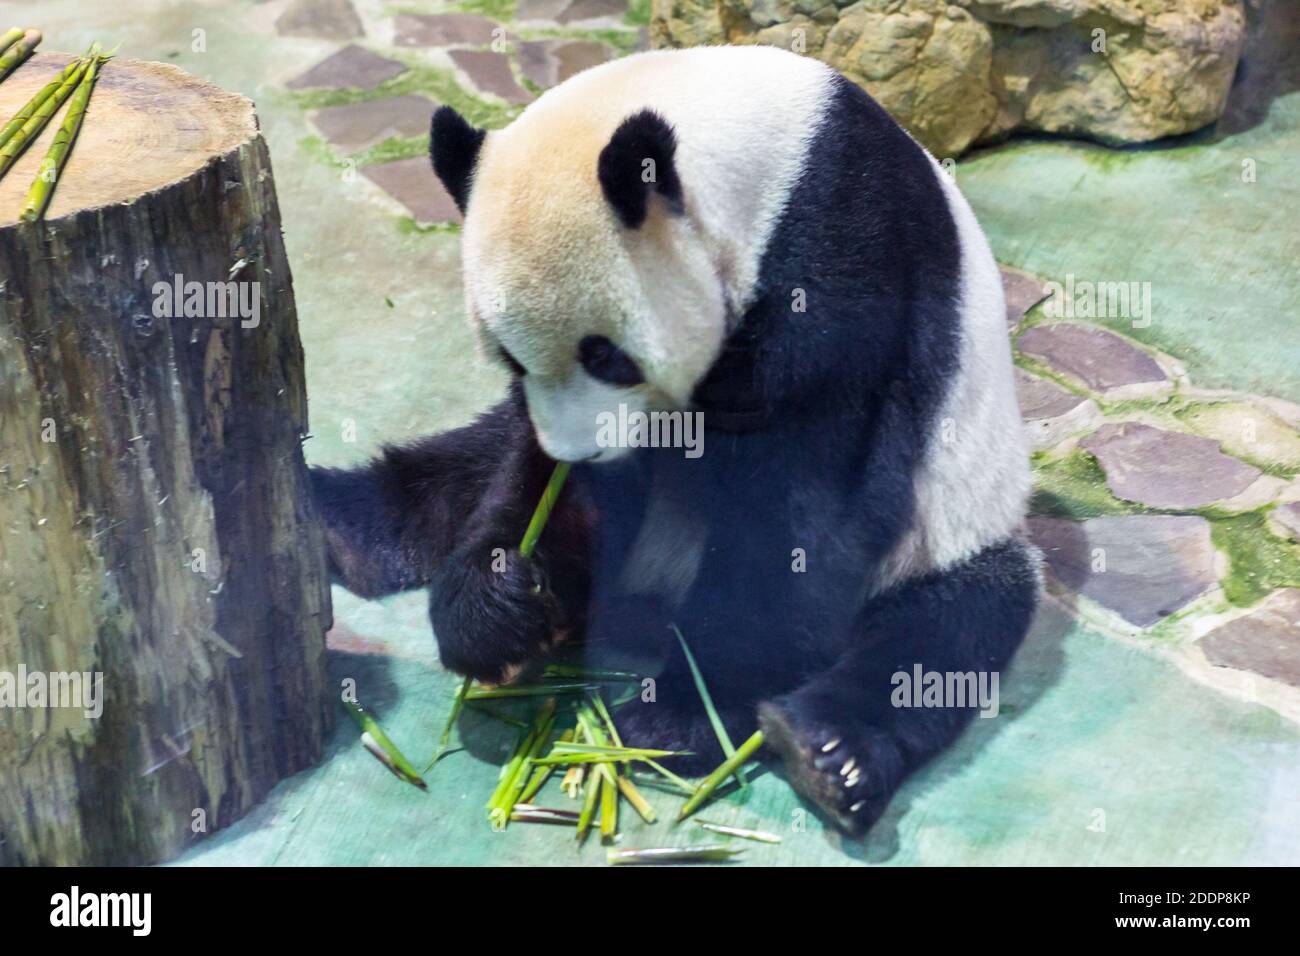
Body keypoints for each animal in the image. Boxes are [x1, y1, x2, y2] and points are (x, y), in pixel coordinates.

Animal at [309, 46, 1040, 837]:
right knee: (464, 464)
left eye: (606, 355)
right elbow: (542, 482)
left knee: (939, 638)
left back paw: (825, 753)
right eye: (509, 356)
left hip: (951, 526)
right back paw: (340, 524)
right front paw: (503, 604)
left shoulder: (846, 267)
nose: (580, 453)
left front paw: (677, 720)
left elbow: (803, 514)